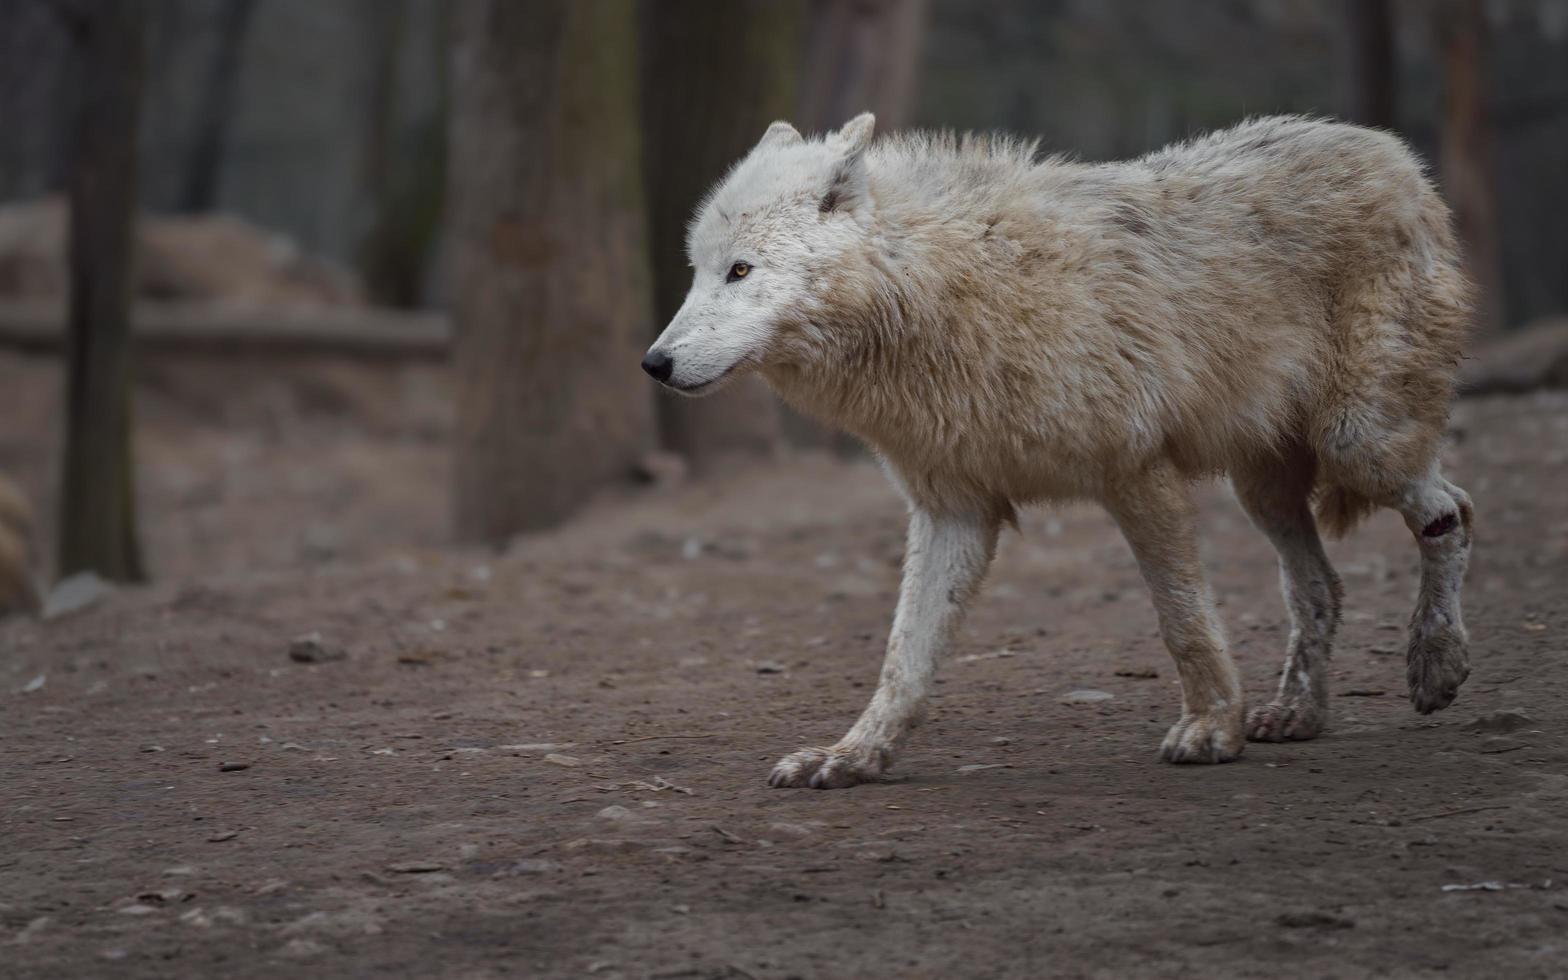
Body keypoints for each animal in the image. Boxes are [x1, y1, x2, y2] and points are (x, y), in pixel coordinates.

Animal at [642, 114, 1473, 787]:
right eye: (697, 272)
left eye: (740, 270)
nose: (654, 363)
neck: (938, 296)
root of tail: (1397, 154)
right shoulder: (953, 510)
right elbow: (903, 659)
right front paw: (852, 756)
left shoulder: (1137, 473)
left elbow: (1183, 621)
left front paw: (1211, 728)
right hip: (1263, 489)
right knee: (1321, 586)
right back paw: (1297, 712)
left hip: (1358, 443)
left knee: (1452, 511)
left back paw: (1436, 665)